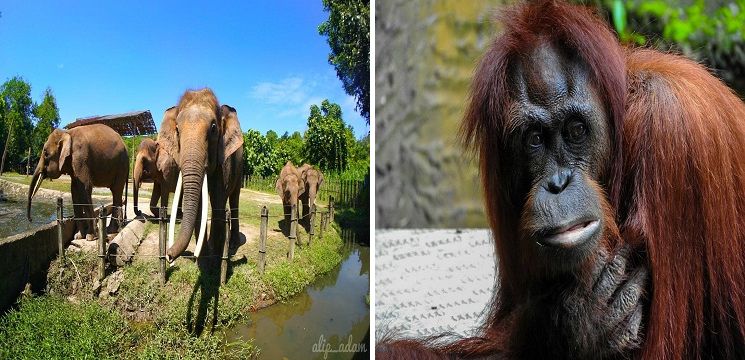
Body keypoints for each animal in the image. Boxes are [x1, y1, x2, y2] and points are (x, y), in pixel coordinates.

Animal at [161, 88, 244, 262]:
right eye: (177, 129)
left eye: (213, 128)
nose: (168, 255)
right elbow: (199, 205)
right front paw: (204, 256)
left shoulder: (223, 158)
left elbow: (218, 199)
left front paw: (214, 257)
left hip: (240, 165)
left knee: (234, 198)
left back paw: (233, 244)